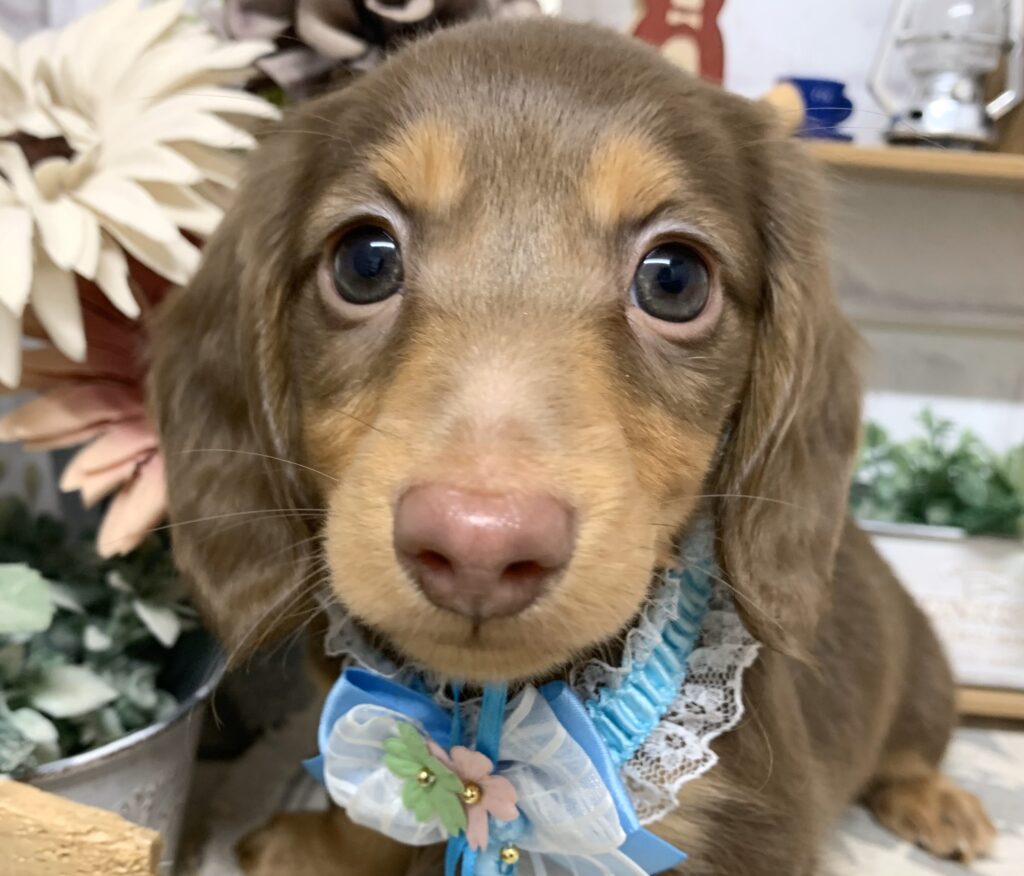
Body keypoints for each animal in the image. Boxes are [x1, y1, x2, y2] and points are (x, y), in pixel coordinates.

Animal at [148, 18, 995, 876]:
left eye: (676, 279)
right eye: (364, 260)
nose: (479, 549)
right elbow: (367, 813)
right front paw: (324, 843)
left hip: (921, 677)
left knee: (911, 750)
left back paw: (938, 800)